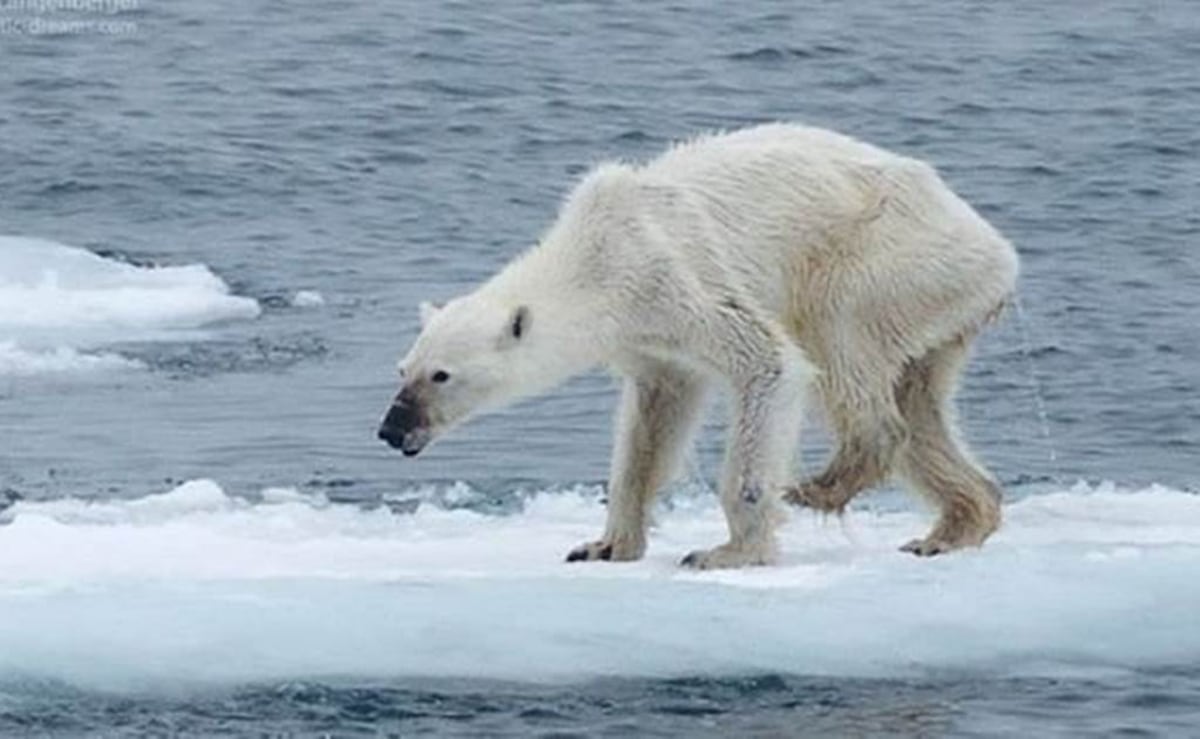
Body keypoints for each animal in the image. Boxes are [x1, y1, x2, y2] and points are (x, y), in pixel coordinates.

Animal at [378, 123, 1019, 569]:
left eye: (441, 375)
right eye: (402, 368)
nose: (390, 429)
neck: (595, 256)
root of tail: (999, 251)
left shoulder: (674, 277)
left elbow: (770, 364)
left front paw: (727, 552)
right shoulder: (648, 339)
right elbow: (652, 423)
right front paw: (603, 545)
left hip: (886, 259)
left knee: (840, 339)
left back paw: (821, 484)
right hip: (938, 306)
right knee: (921, 405)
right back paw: (951, 527)